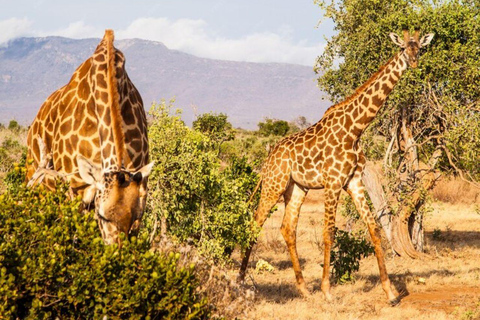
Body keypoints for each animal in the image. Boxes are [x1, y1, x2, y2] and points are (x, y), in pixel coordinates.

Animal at [25, 30, 153, 245]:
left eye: (135, 217)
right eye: (103, 215)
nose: (116, 250)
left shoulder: (140, 190)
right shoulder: (75, 189)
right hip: (36, 180)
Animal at [240, 28, 436, 304]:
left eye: (419, 47)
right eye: (403, 48)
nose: (414, 62)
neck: (355, 129)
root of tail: (269, 156)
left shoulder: (353, 182)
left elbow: (374, 230)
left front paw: (390, 292)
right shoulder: (332, 182)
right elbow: (329, 233)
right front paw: (327, 291)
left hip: (296, 188)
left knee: (288, 228)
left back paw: (303, 289)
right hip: (273, 184)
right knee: (255, 223)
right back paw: (239, 281)